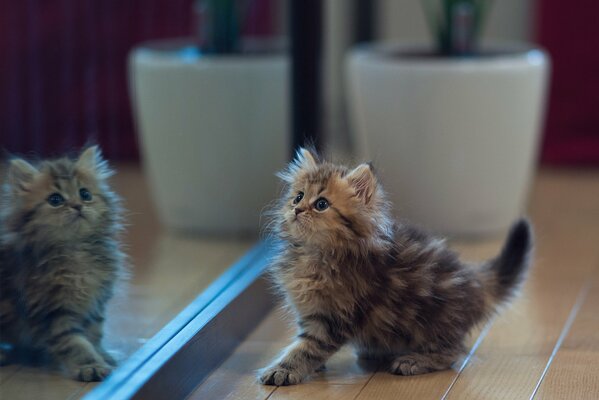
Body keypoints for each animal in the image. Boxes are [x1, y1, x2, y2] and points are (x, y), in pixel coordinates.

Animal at [0, 147, 125, 382]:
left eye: (85, 194)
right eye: (55, 199)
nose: (77, 206)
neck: (75, 251)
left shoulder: (95, 303)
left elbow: (94, 333)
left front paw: (102, 355)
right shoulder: (52, 310)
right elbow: (74, 342)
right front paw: (90, 365)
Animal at [260, 148, 532, 386]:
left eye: (321, 204)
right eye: (298, 197)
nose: (297, 210)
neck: (313, 253)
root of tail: (473, 280)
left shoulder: (334, 316)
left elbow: (306, 348)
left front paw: (283, 370)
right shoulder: (310, 311)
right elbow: (303, 340)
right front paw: (312, 368)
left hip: (433, 318)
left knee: (453, 353)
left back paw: (414, 361)